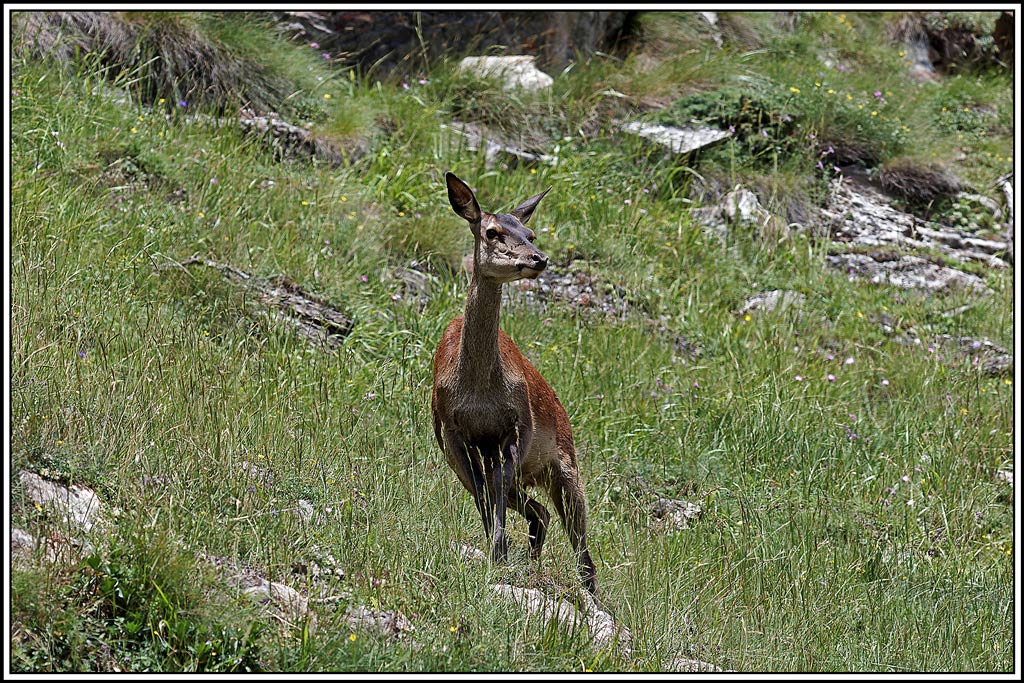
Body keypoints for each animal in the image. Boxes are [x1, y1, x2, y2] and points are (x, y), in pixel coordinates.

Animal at [431, 172, 598, 598]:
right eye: (492, 232)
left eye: (531, 233)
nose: (538, 259)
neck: (479, 393)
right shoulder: (452, 433)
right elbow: (485, 497)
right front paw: (498, 554)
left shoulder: (517, 425)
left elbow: (495, 493)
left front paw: (499, 553)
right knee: (537, 511)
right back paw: (529, 557)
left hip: (565, 462)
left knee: (580, 544)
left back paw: (590, 592)